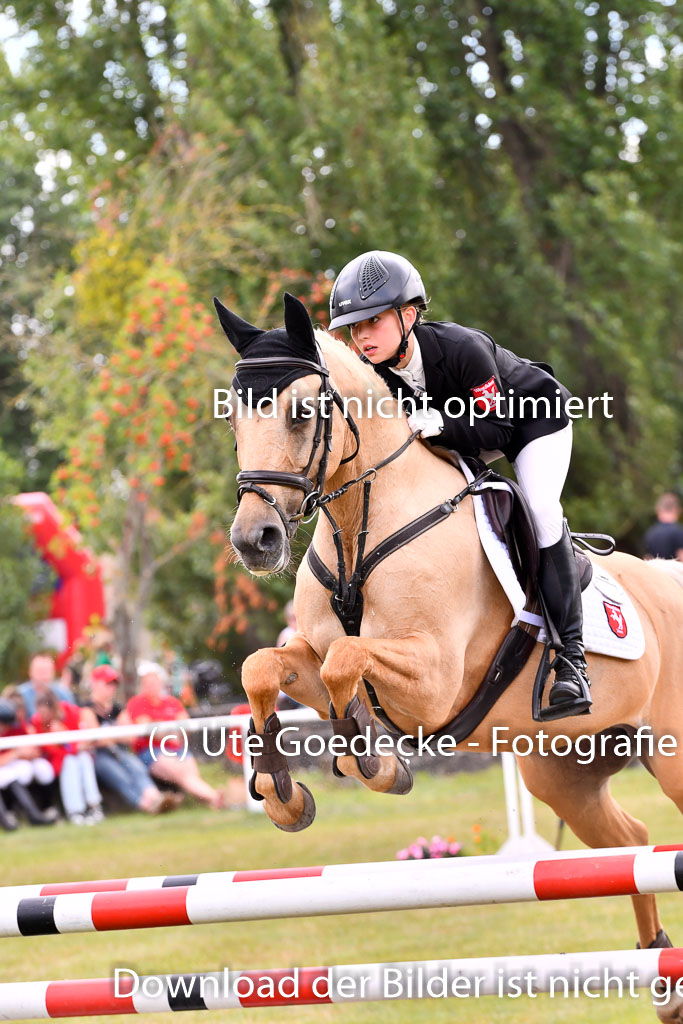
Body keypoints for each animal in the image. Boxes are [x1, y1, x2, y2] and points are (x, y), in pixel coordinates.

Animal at [218, 296, 683, 991]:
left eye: (301, 413)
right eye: (234, 418)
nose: (255, 541)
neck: (362, 523)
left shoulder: (434, 682)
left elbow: (345, 663)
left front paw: (373, 760)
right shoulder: (313, 656)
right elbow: (263, 668)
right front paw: (282, 791)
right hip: (565, 771)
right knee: (630, 840)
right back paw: (660, 973)